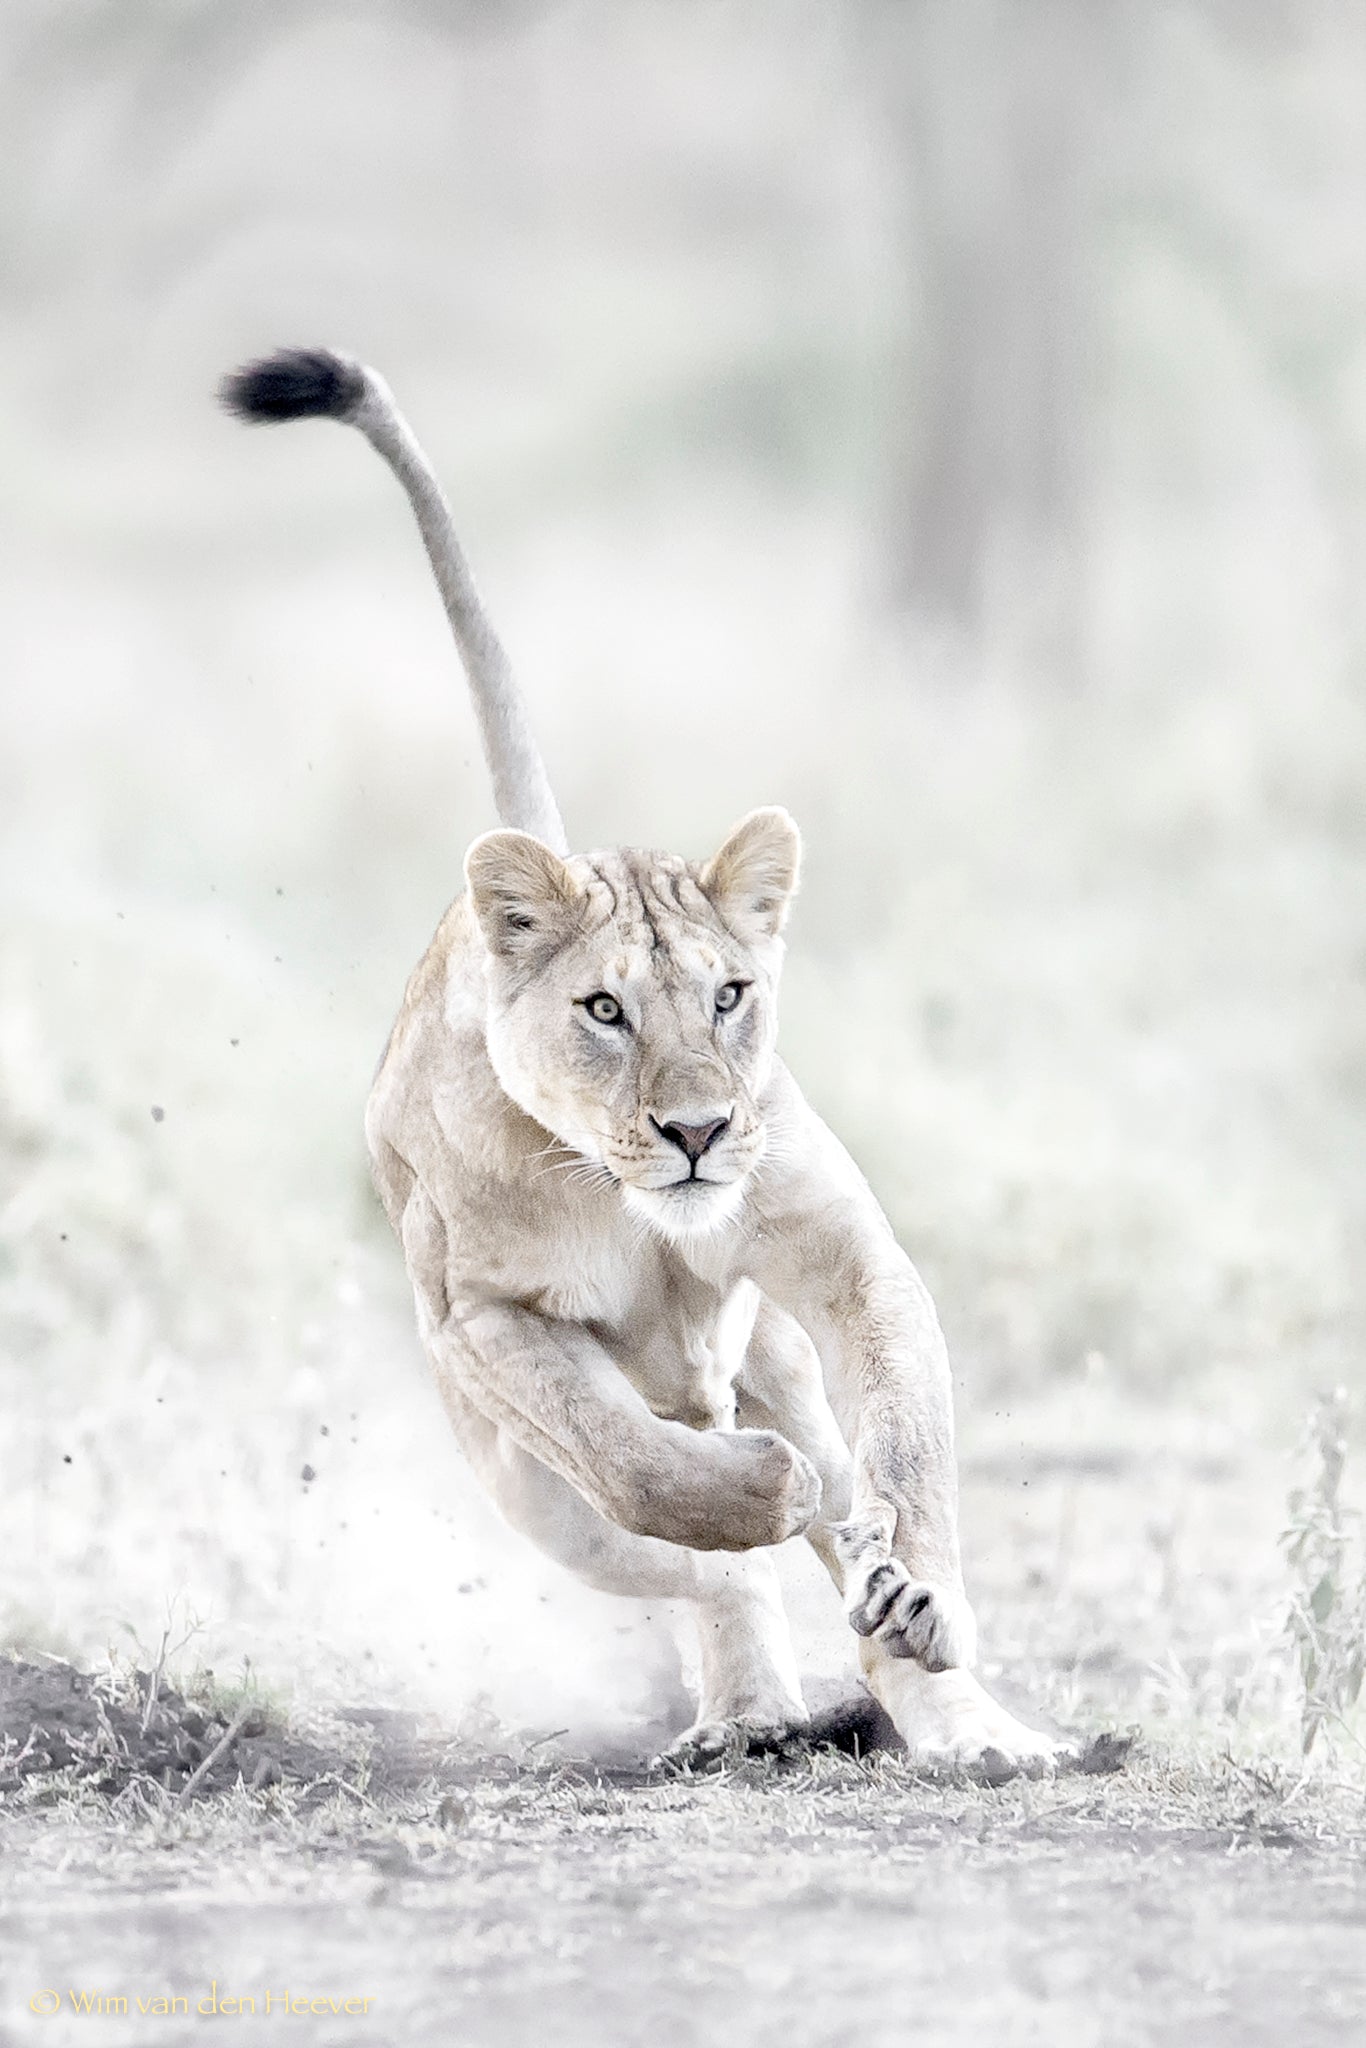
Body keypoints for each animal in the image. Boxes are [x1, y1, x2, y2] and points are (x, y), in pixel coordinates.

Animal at [221, 347, 1073, 1772]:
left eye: (729, 994)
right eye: (606, 1010)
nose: (698, 1133)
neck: (622, 1191)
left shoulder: (841, 1250)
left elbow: (910, 1442)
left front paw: (915, 1592)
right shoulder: (485, 1322)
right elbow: (632, 1461)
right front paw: (754, 1492)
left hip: (773, 1353)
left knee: (832, 1494)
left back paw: (956, 1712)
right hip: (520, 1486)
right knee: (690, 1559)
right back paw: (751, 1706)